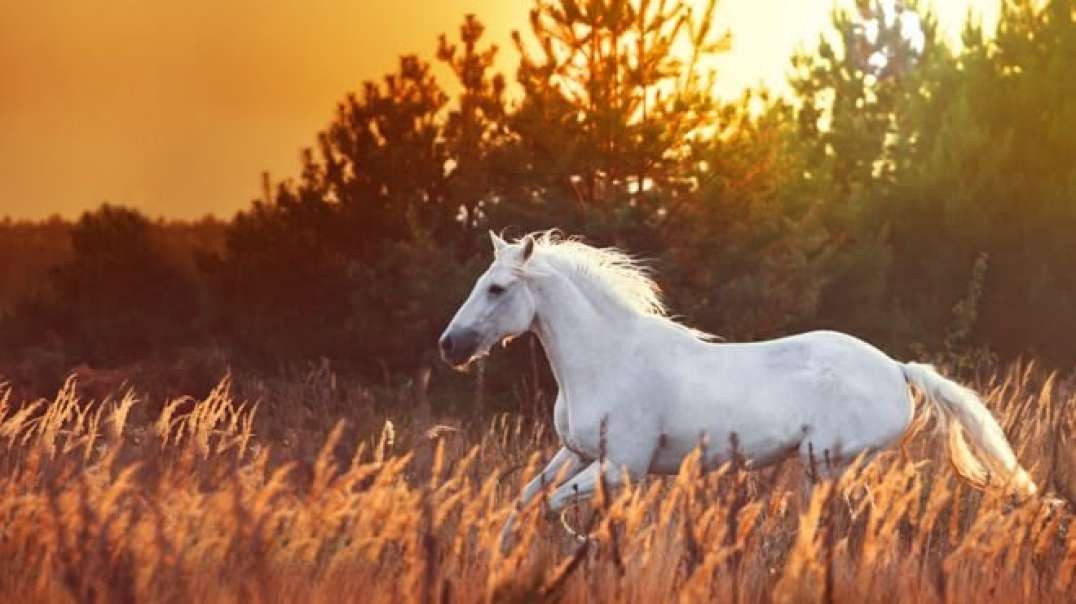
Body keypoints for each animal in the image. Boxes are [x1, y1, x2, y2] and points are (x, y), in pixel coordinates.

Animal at [434, 229, 1032, 542]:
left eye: (497, 288)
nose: (450, 345)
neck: (609, 359)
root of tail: (897, 368)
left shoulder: (623, 467)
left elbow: (554, 505)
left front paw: (584, 544)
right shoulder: (577, 452)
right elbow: (526, 498)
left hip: (829, 462)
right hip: (821, 470)